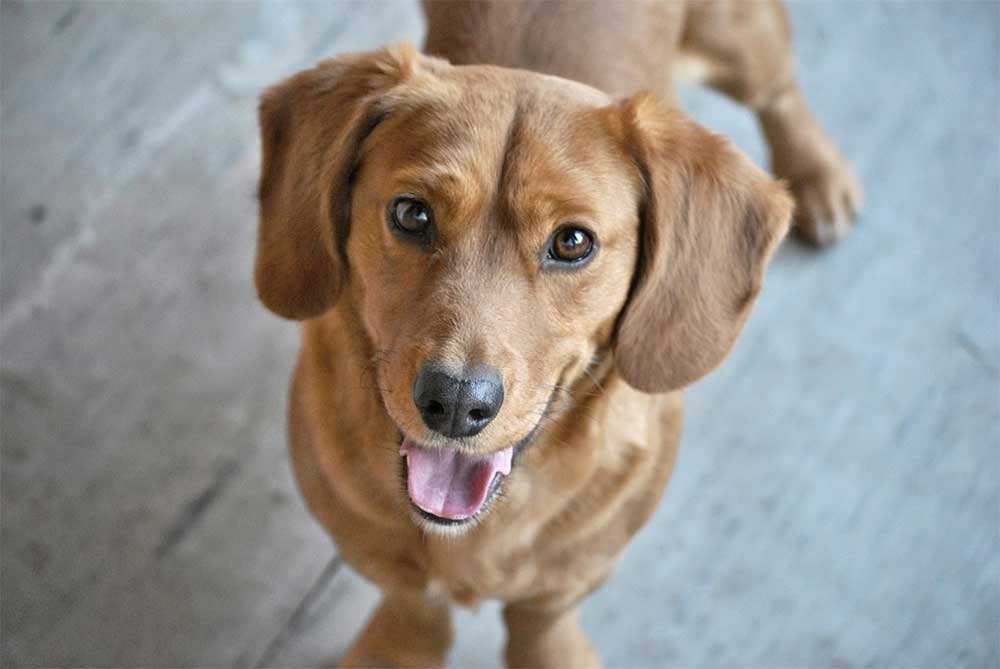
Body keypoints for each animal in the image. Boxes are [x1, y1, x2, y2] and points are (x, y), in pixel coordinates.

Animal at [254, 2, 864, 664]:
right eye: (411, 214)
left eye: (572, 242)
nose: (455, 404)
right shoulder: (374, 550)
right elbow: (413, 604)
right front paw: (400, 647)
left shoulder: (572, 577)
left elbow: (541, 622)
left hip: (737, 40)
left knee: (777, 88)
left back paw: (816, 172)